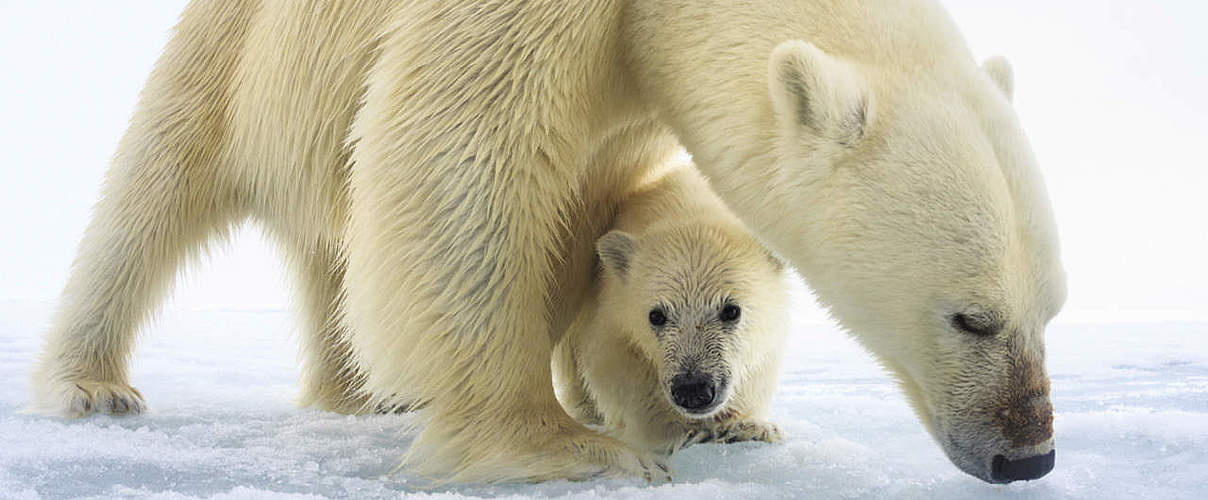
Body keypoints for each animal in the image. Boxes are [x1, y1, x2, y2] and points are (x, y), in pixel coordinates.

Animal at [33, 0, 1063, 485]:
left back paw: (360, 395)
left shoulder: (625, 105)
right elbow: (455, 153)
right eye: (971, 318)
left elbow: (578, 228)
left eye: (1052, 308)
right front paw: (566, 445)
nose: (1028, 457)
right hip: (240, 44)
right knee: (154, 187)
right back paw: (91, 385)